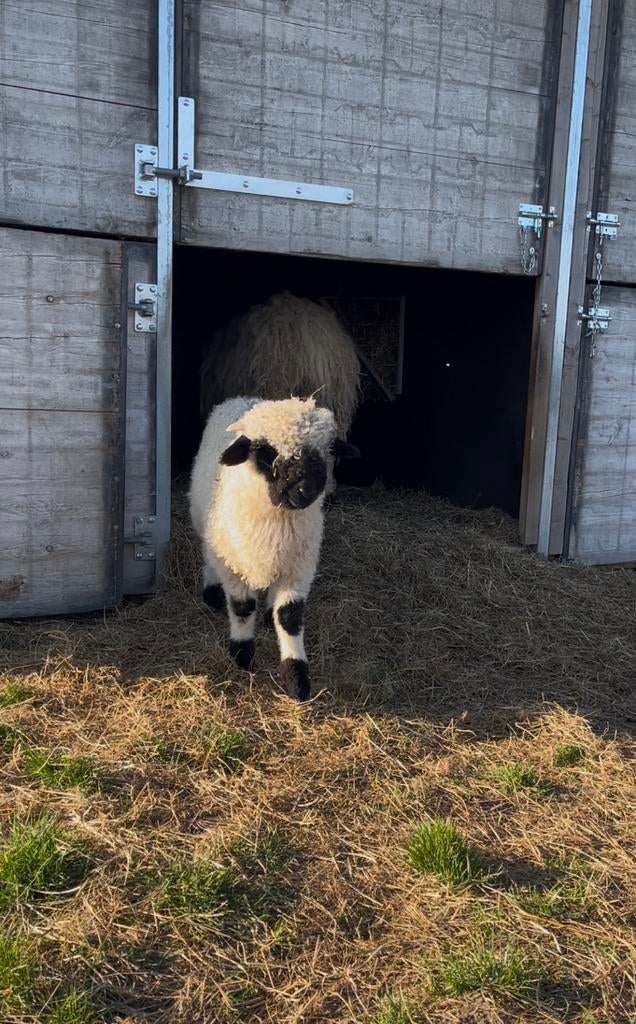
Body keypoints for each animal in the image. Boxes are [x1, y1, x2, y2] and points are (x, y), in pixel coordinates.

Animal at [189, 395, 359, 700]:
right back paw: (212, 592)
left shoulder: (299, 568)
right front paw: (242, 655)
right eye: (265, 452)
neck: (278, 523)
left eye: (325, 451)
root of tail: (244, 398)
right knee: (209, 557)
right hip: (208, 528)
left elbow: (289, 617)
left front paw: (296, 678)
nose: (306, 490)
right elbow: (242, 608)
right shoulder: (234, 567)